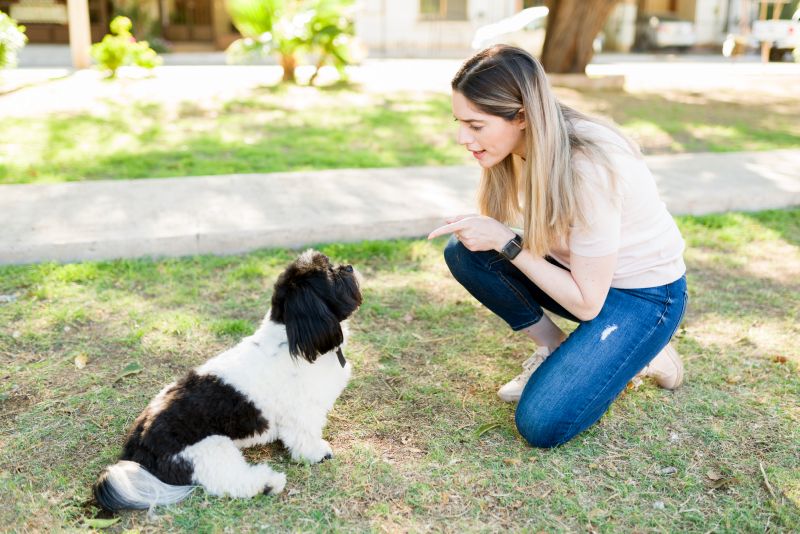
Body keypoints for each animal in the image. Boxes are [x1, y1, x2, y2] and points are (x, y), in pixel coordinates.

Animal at [91, 252, 362, 516]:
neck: (291, 339)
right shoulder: (301, 411)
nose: (349, 267)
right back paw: (267, 483)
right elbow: (305, 436)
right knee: (230, 481)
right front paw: (317, 453)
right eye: (330, 274)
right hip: (208, 450)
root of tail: (137, 448)